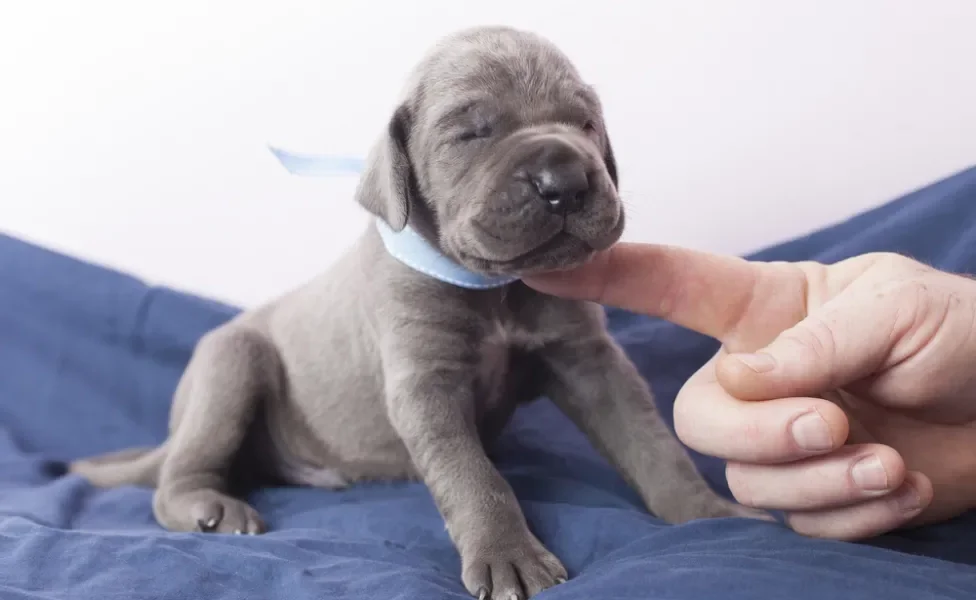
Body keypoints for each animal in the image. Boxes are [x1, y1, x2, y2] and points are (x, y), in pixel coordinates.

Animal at [72, 24, 768, 600]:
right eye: (471, 132)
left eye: (585, 123)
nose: (565, 179)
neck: (493, 287)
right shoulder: (425, 384)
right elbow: (473, 476)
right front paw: (509, 555)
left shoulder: (587, 361)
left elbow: (649, 442)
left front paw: (707, 512)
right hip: (231, 362)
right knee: (178, 474)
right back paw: (208, 508)